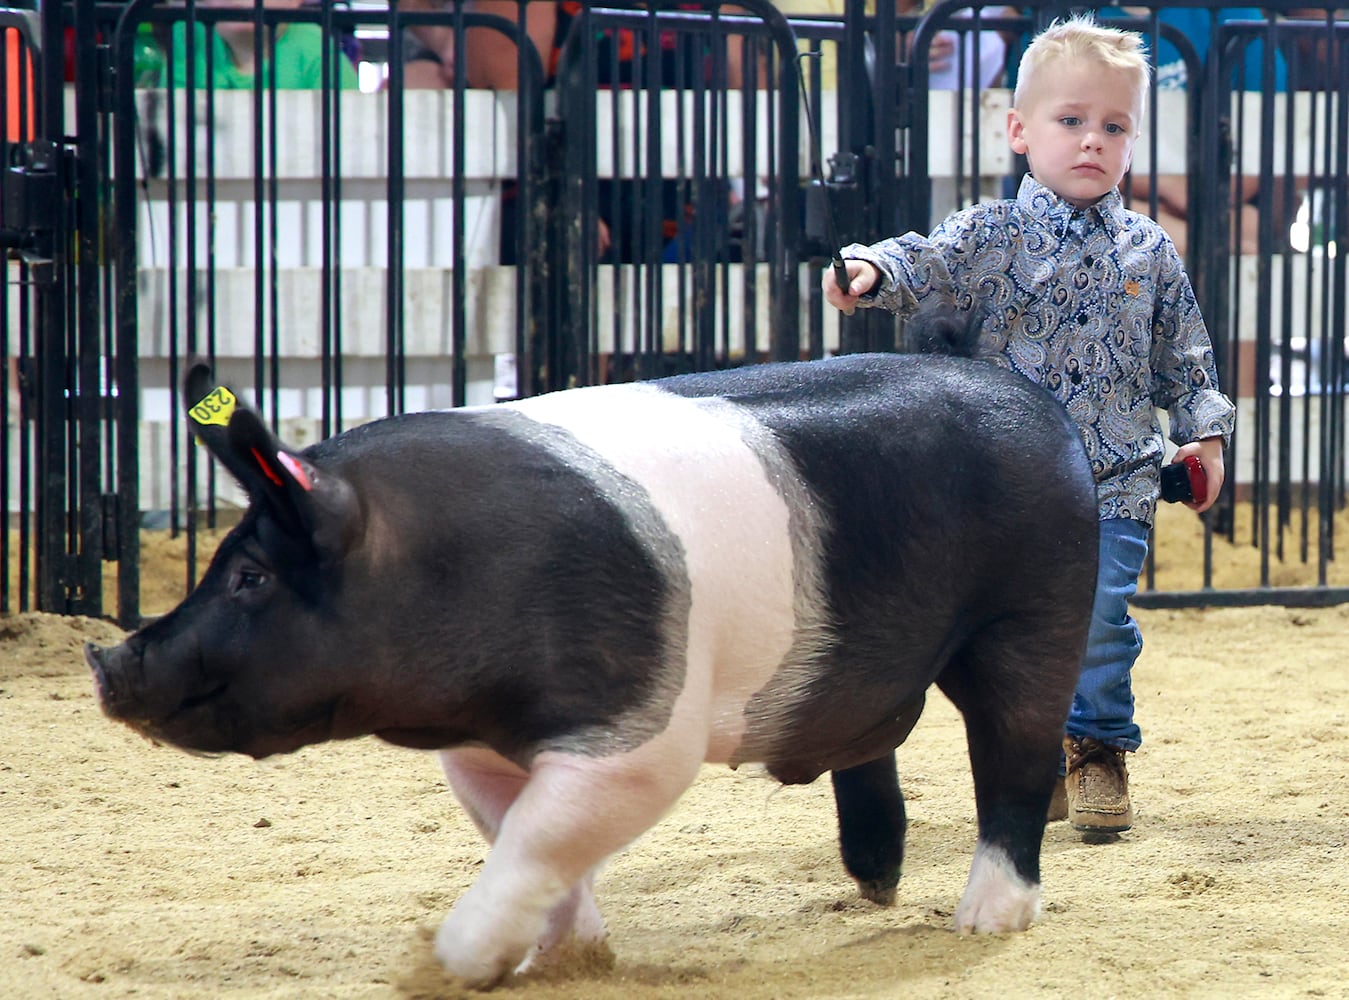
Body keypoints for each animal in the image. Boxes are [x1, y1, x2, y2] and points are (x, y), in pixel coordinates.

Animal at [81, 348, 1095, 987]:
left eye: (252, 576)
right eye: (220, 561)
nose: (106, 657)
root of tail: (1040, 406)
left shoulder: (637, 731)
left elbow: (543, 837)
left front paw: (441, 963)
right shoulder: (480, 748)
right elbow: (525, 840)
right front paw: (562, 961)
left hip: (1033, 612)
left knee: (1015, 759)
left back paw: (983, 920)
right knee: (874, 744)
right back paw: (874, 886)